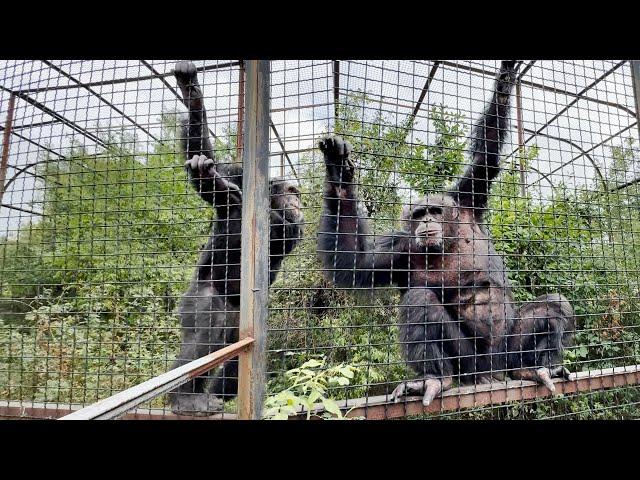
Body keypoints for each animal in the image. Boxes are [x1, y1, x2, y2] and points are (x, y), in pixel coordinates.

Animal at [166, 61, 304, 416]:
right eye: (291, 190)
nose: (298, 200)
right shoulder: (240, 176)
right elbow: (213, 177)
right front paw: (192, 93)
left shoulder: (295, 228)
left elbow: (281, 232)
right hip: (197, 299)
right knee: (206, 329)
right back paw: (185, 396)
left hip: (237, 319)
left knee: (228, 348)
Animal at [318, 59, 576, 404]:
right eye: (419, 214)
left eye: (435, 211)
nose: (427, 221)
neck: (448, 241)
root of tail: (491, 374)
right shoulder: (398, 250)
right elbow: (357, 263)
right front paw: (338, 175)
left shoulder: (468, 197)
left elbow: (485, 156)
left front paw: (507, 77)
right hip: (469, 364)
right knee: (420, 302)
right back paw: (434, 379)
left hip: (508, 351)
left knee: (554, 305)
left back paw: (534, 368)